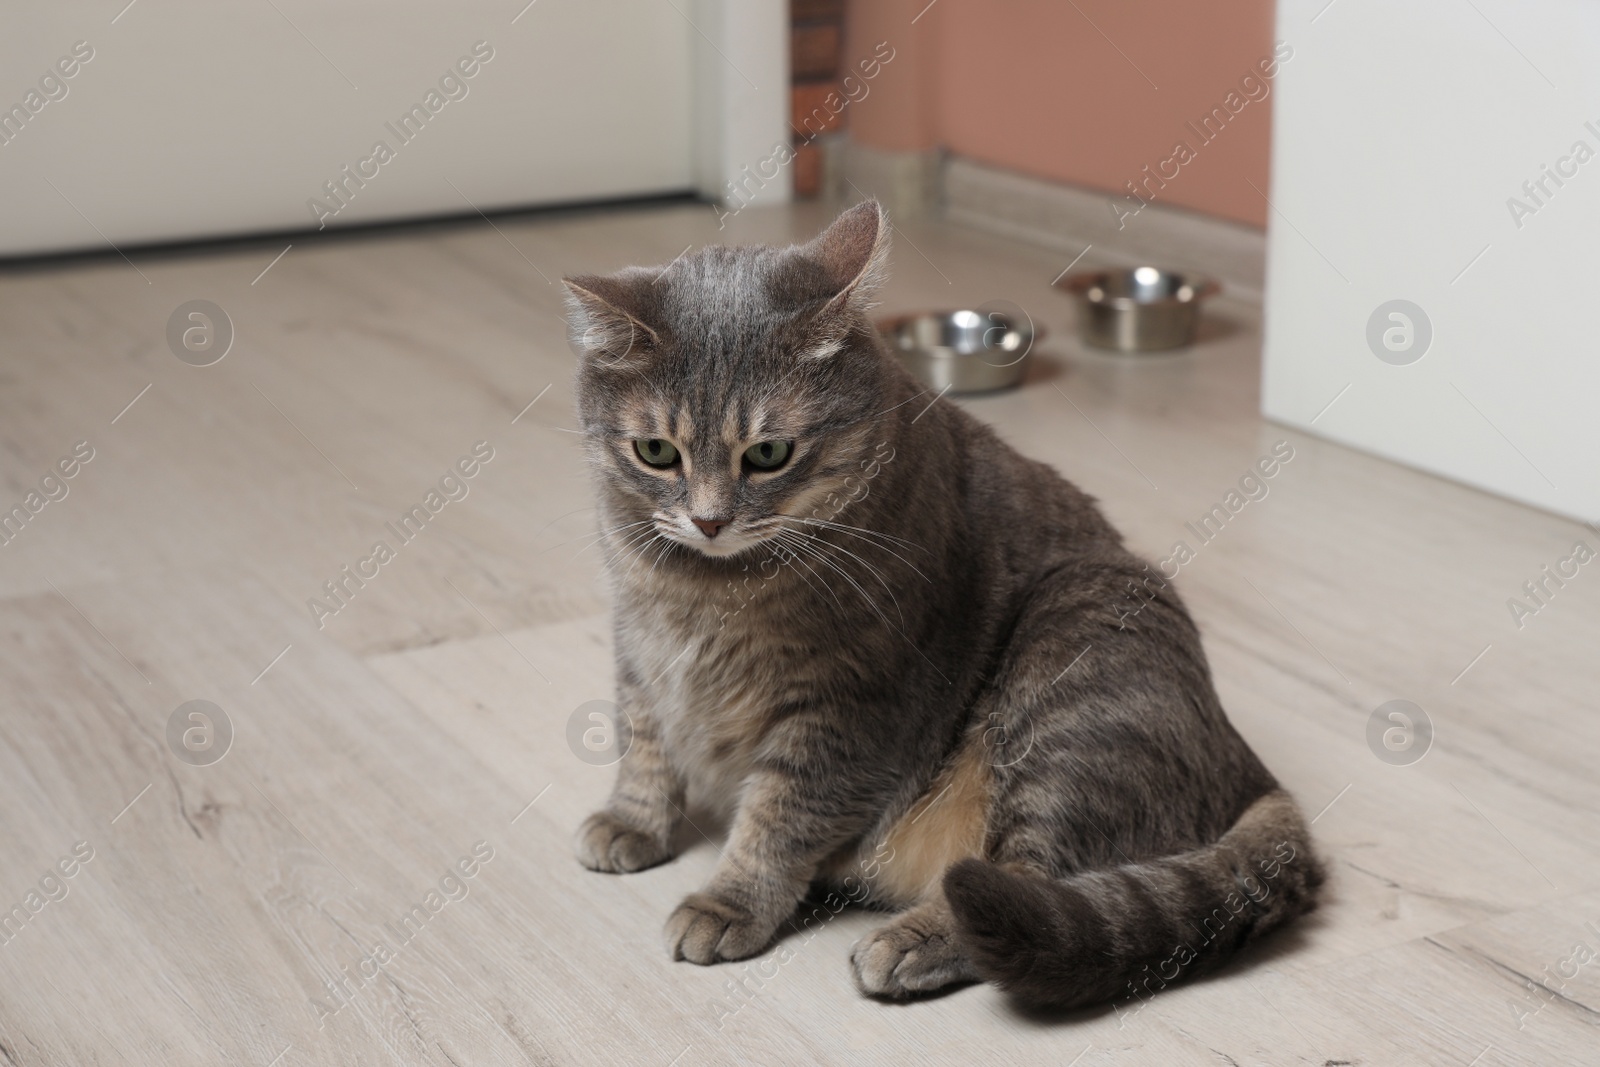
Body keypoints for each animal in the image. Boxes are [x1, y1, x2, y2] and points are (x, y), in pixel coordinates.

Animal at [566, 202, 1324, 1011]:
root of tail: (1247, 764)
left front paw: (729, 900)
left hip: (1077, 651)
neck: (703, 586)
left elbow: (778, 817)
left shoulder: (847, 712)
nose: (709, 521)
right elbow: (643, 741)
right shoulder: (639, 649)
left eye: (768, 455)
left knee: (1026, 882)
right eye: (656, 451)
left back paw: (911, 940)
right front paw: (631, 820)